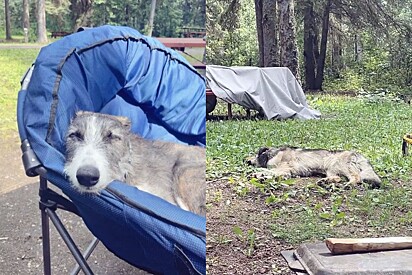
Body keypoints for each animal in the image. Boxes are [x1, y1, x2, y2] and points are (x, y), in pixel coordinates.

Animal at [246, 147, 382, 190]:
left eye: (254, 154)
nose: (246, 160)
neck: (274, 153)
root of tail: (358, 154)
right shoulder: (284, 172)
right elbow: (268, 172)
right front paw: (259, 176)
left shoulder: (283, 169)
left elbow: (266, 170)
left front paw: (256, 174)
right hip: (331, 170)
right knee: (337, 178)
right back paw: (324, 182)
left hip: (343, 167)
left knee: (356, 177)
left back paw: (348, 185)